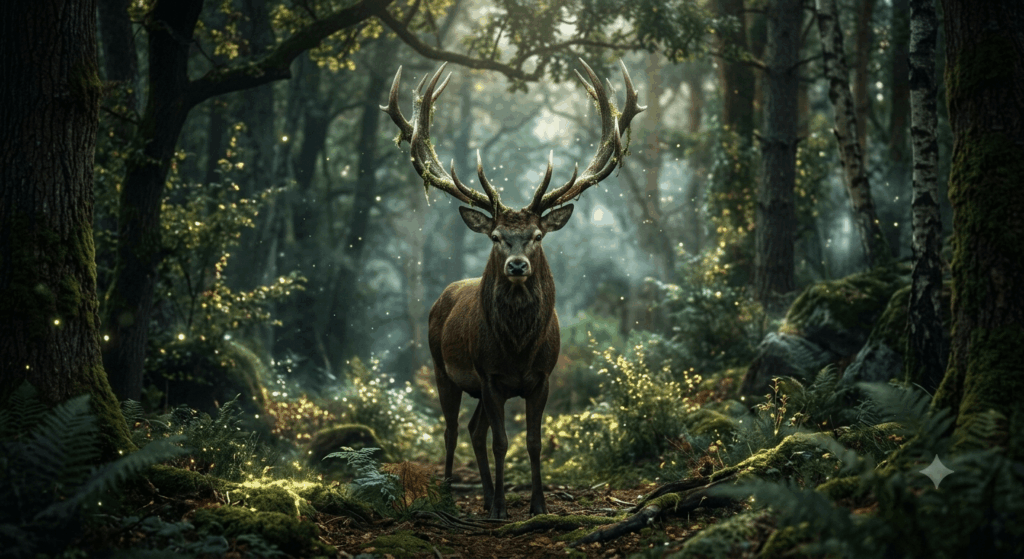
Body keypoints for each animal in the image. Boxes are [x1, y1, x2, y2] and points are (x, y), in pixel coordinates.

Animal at [382, 59, 644, 519]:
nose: (517, 265)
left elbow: (534, 443)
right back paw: (452, 493)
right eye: (497, 236)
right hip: (441, 368)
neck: (518, 347)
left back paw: (485, 495)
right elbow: (503, 443)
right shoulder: (490, 377)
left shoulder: (542, 378)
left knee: (473, 429)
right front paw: (503, 509)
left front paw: (537, 505)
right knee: (453, 429)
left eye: (537, 235)